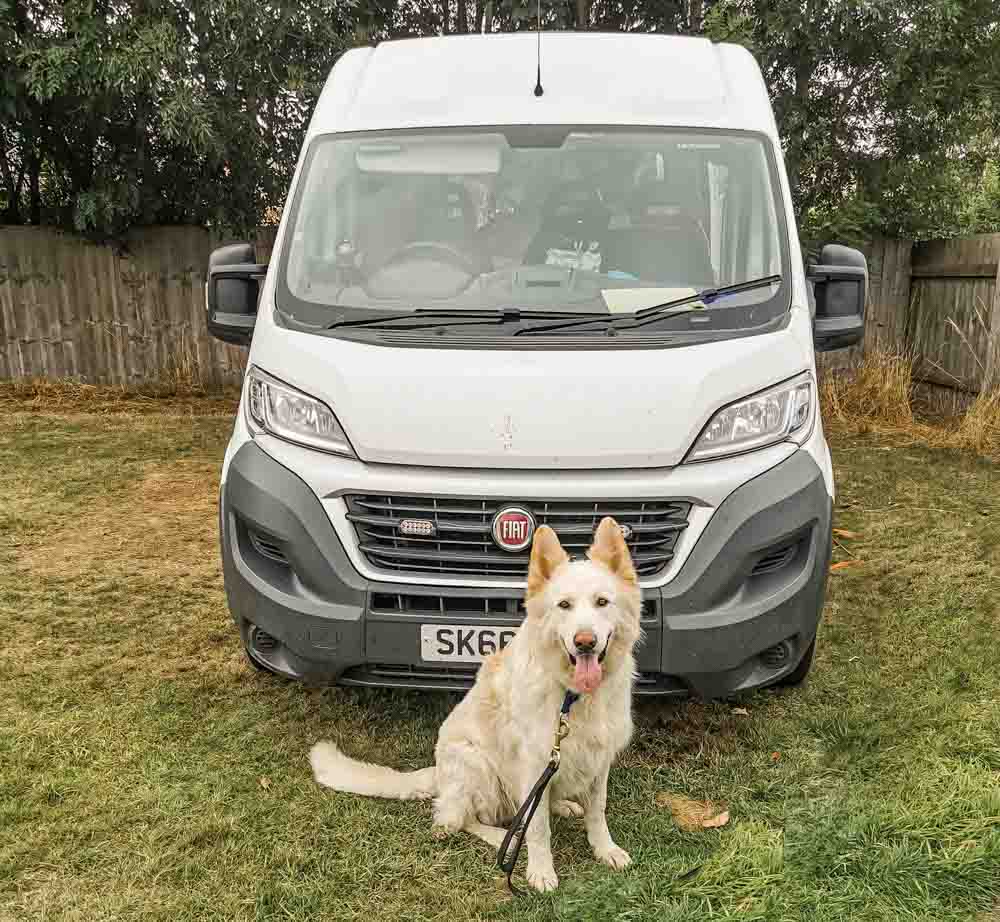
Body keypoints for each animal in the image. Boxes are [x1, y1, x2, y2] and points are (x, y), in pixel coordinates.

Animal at [308, 512, 644, 888]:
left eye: (602, 602)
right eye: (564, 605)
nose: (585, 642)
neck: (571, 696)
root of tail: (438, 774)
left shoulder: (598, 759)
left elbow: (597, 811)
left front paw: (605, 849)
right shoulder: (534, 763)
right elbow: (538, 829)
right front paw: (540, 870)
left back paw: (563, 806)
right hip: (477, 766)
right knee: (458, 819)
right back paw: (504, 838)